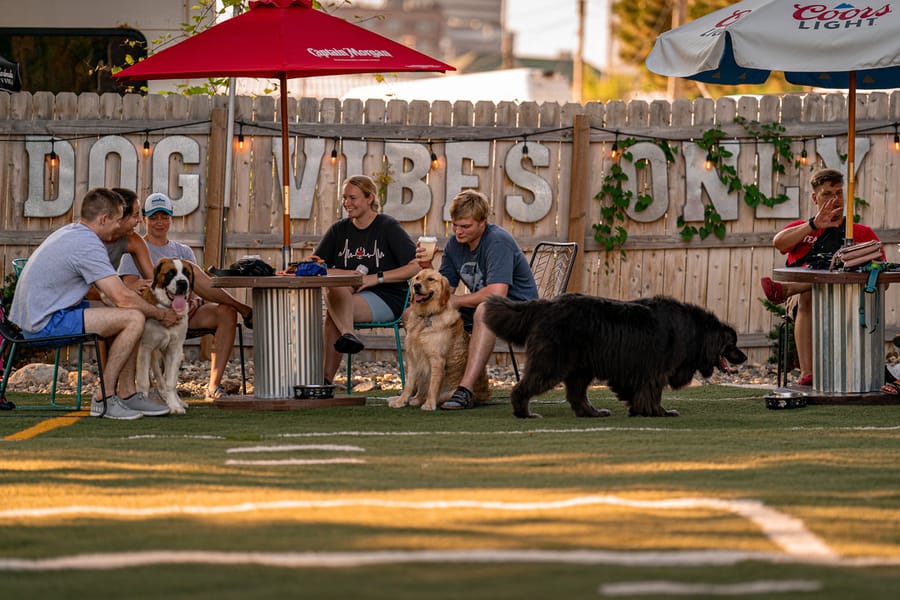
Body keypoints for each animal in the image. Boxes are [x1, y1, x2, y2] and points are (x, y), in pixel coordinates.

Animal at [136, 255, 194, 414]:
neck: (168, 308)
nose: (182, 283)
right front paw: (143, 403)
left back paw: (178, 402)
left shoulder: (175, 349)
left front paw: (174, 405)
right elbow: (143, 381)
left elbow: (170, 382)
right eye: (170, 273)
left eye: (187, 273)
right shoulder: (145, 348)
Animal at [388, 270, 488, 410]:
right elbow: (409, 384)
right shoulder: (412, 357)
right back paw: (415, 399)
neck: (426, 316)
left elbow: (433, 385)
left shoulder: (437, 359)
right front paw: (401, 401)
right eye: (417, 278)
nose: (416, 286)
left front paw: (429, 404)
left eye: (430, 279)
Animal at [486, 294, 744, 418]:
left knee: (576, 395)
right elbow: (652, 392)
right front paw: (658, 412)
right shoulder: (656, 371)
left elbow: (637, 391)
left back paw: (593, 413)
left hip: (581, 368)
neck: (695, 330)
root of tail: (546, 305)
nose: (744, 358)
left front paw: (638, 409)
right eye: (732, 344)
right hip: (553, 362)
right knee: (524, 387)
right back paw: (525, 414)